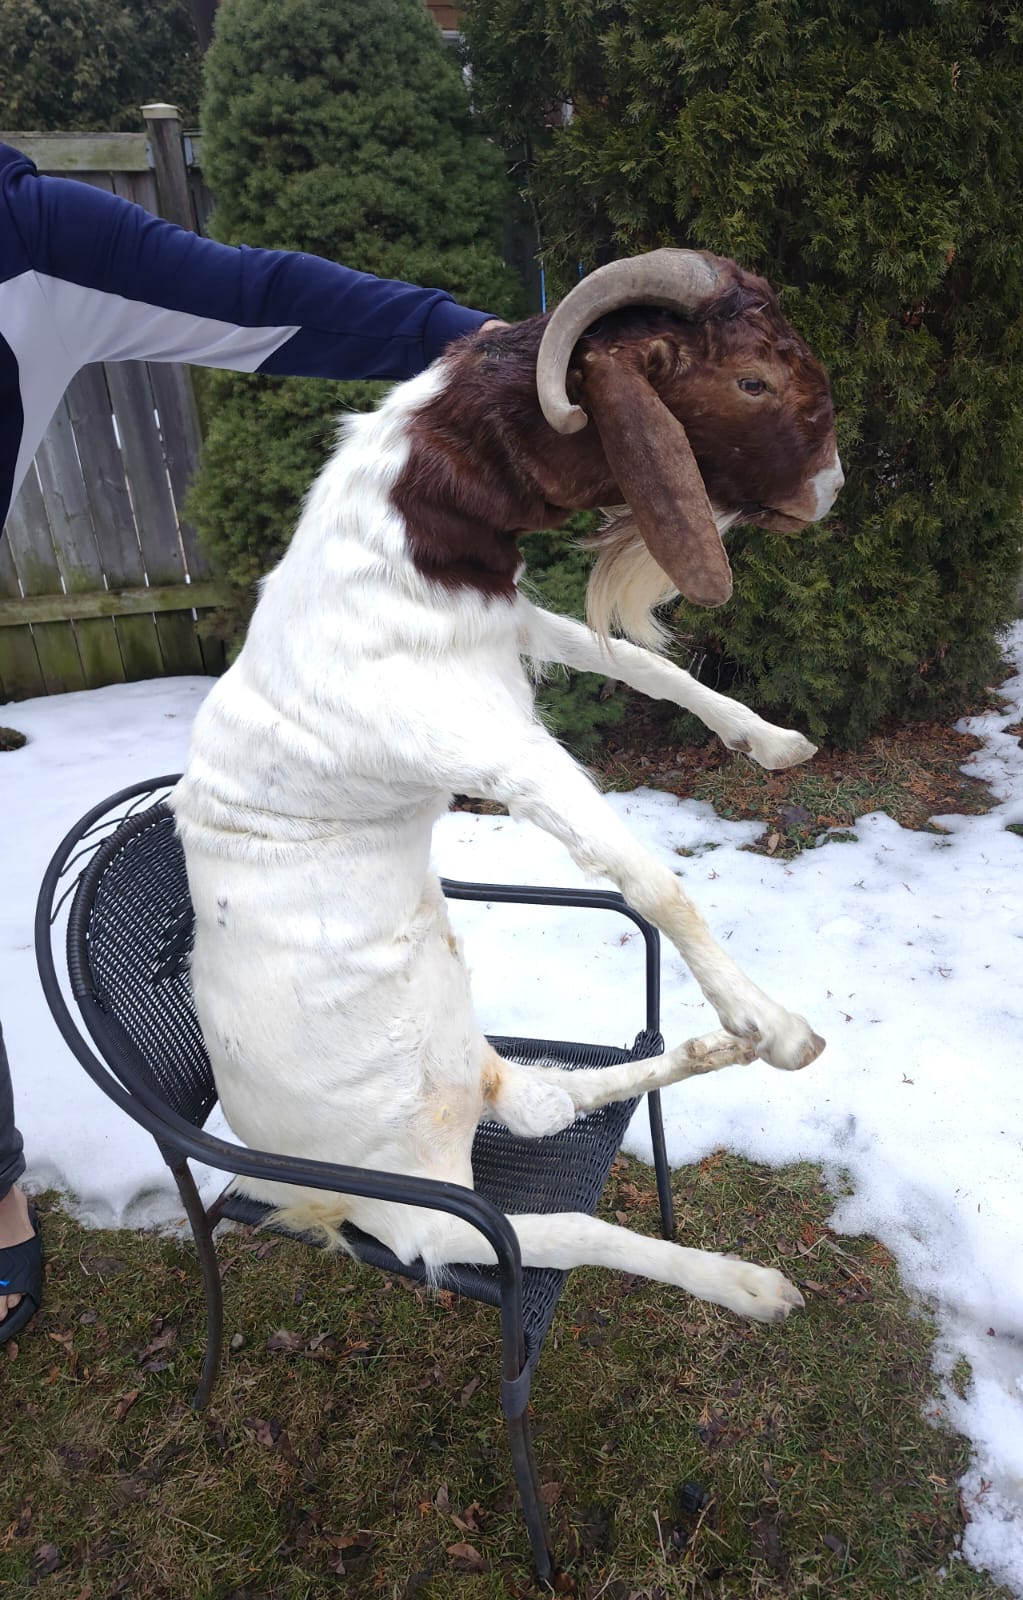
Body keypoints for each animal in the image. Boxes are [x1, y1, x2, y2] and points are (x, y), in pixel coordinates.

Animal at [173, 249, 843, 1323]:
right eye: (751, 381)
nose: (829, 490)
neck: (388, 567)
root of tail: (298, 1187)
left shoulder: (511, 627)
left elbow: (637, 666)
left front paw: (770, 741)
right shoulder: (498, 751)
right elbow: (645, 875)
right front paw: (772, 1027)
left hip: (486, 1083)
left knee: (550, 1105)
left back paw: (704, 1056)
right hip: (416, 1208)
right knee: (542, 1229)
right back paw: (745, 1282)